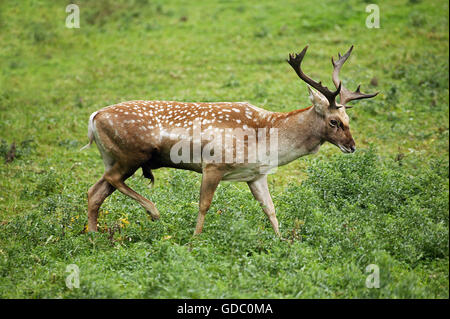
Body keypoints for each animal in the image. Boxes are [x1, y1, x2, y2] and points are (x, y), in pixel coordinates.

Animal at [82, 46, 378, 239]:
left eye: (348, 118)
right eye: (334, 121)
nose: (352, 146)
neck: (267, 138)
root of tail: (93, 117)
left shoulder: (256, 174)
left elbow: (270, 209)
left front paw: (282, 242)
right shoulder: (213, 165)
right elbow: (204, 204)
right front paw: (194, 241)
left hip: (114, 157)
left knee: (96, 191)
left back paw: (93, 237)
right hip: (131, 155)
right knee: (110, 181)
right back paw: (153, 212)